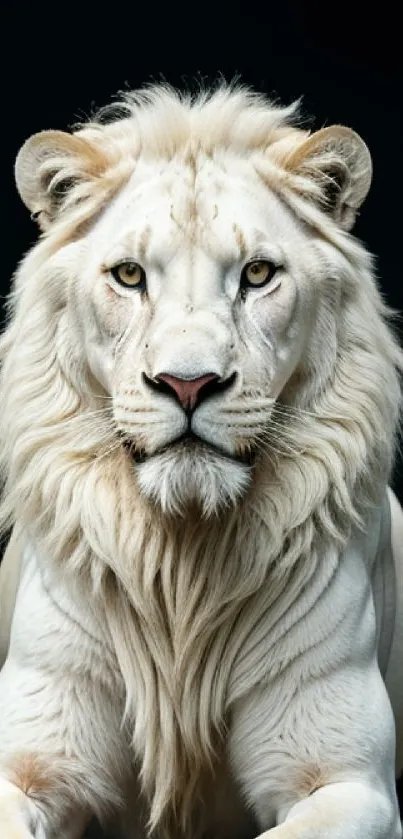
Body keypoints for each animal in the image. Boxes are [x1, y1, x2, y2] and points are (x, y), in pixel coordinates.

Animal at [0, 80, 400, 839]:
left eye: (257, 274)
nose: (188, 384)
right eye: (129, 275)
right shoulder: (29, 761)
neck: (180, 571)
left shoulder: (348, 782)